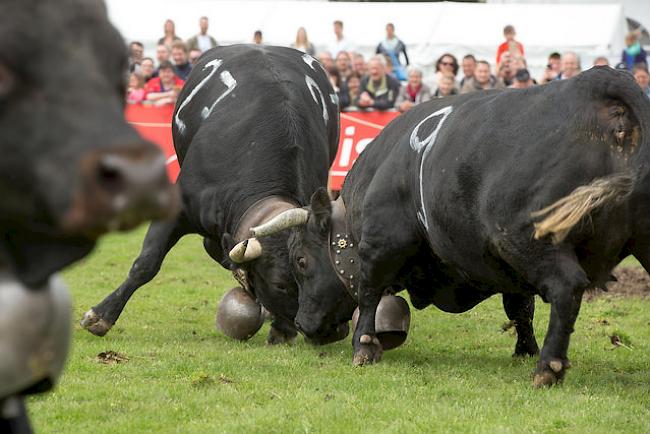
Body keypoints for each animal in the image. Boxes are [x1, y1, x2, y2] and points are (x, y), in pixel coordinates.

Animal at [256, 67, 644, 386]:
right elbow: (520, 307)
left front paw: (364, 347)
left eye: (301, 261)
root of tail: (598, 82)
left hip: (530, 237)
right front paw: (524, 349)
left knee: (567, 287)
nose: (303, 323)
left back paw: (548, 368)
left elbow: (368, 293)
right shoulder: (506, 269)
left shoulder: (383, 243)